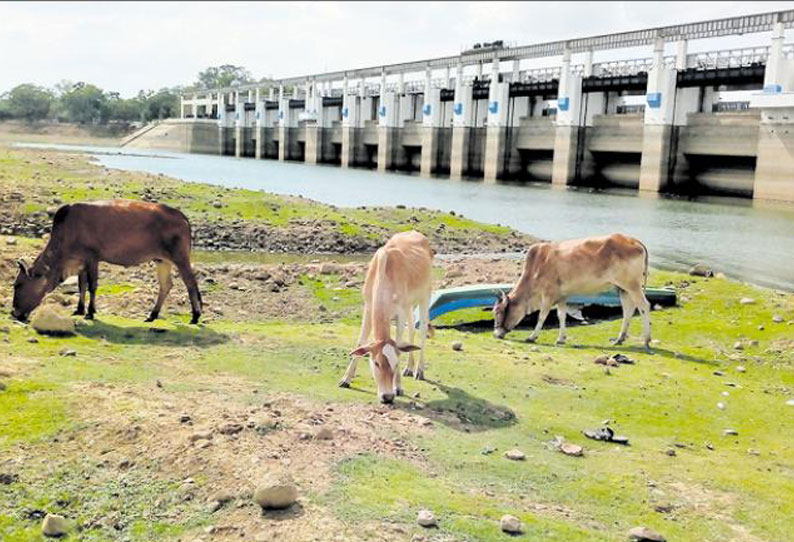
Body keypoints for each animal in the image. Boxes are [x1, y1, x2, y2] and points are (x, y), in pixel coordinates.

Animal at [12, 202, 203, 326]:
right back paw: (152, 315)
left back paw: (195, 316)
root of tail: (182, 216)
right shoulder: (81, 263)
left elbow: (92, 286)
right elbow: (82, 286)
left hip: (180, 257)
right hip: (161, 260)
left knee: (190, 283)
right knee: (166, 285)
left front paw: (90, 312)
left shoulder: (92, 258)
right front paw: (79, 310)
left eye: (18, 284)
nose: (14, 312)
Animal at [336, 230, 434, 404]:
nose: (387, 397)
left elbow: (399, 346)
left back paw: (419, 370)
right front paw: (346, 379)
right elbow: (360, 342)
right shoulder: (368, 307)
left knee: (422, 330)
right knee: (412, 329)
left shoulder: (399, 313)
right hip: (409, 305)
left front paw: (398, 387)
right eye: (376, 363)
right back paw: (409, 368)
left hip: (425, 296)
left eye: (395, 363)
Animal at [496, 236, 648, 350]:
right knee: (628, 310)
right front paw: (560, 339)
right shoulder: (561, 297)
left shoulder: (548, 295)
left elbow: (542, 316)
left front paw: (532, 336)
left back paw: (647, 340)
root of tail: (634, 240)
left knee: (644, 306)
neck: (535, 268)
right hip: (623, 289)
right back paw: (619, 339)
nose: (496, 334)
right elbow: (561, 316)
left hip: (633, 286)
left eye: (498, 311)